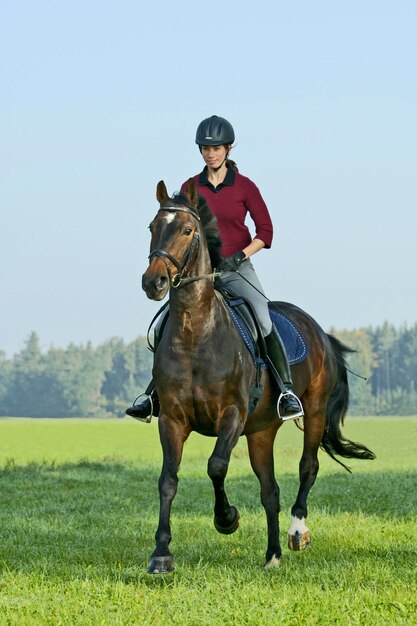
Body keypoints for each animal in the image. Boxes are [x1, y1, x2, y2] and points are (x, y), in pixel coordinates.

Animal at [141, 178, 376, 572]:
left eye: (187, 230)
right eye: (152, 228)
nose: (153, 282)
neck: (196, 333)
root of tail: (320, 332)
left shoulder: (232, 415)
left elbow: (216, 466)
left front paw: (227, 519)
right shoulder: (172, 419)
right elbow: (167, 480)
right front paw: (161, 554)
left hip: (313, 412)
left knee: (308, 466)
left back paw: (297, 532)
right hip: (262, 431)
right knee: (270, 490)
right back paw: (272, 555)